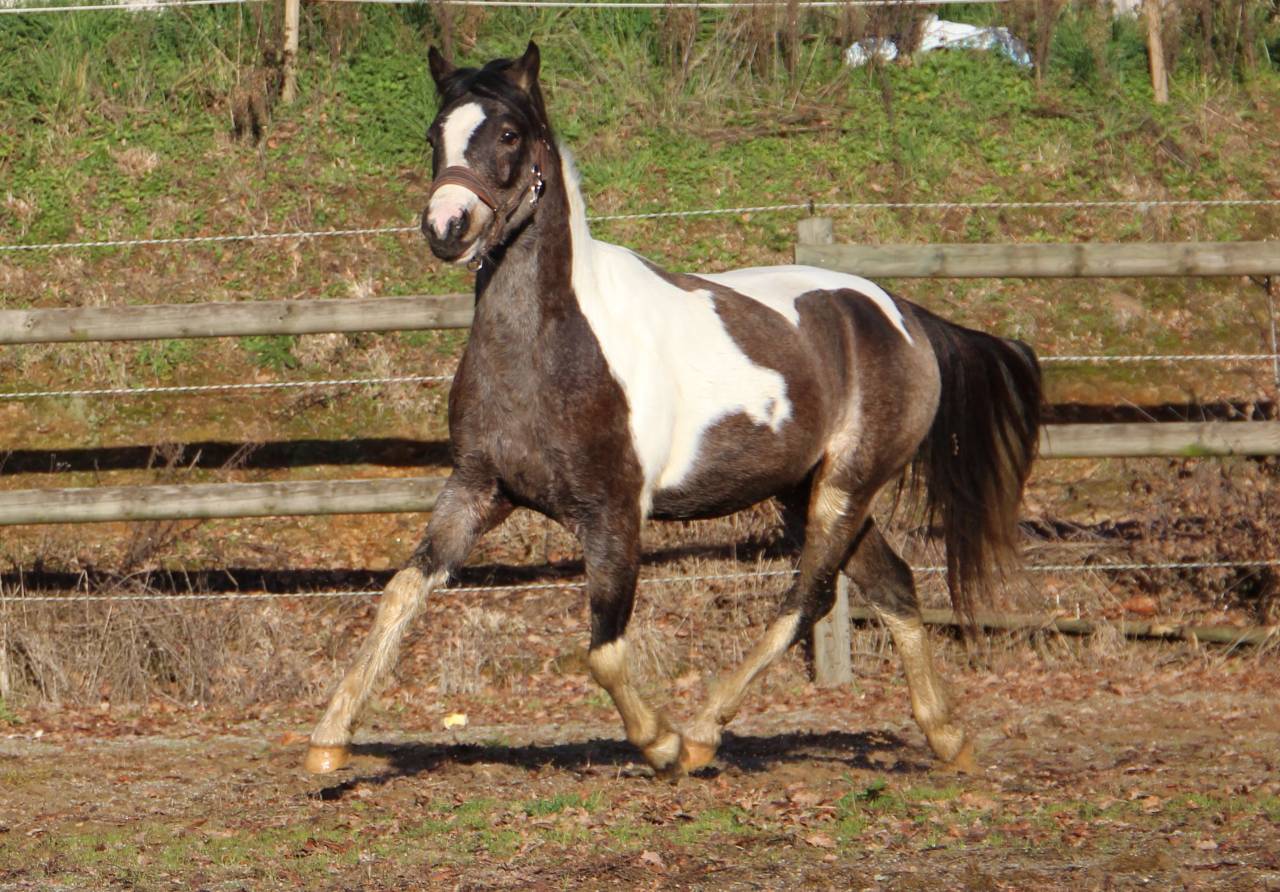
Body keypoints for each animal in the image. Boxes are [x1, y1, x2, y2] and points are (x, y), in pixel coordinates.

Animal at [304, 42, 1041, 779]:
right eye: (436, 135)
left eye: (509, 134)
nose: (447, 226)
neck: (550, 352)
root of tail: (904, 314)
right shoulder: (477, 489)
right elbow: (401, 593)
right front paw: (328, 741)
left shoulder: (613, 512)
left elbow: (603, 651)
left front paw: (659, 742)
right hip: (803, 491)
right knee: (893, 588)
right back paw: (947, 736)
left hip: (846, 488)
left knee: (807, 597)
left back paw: (702, 735)